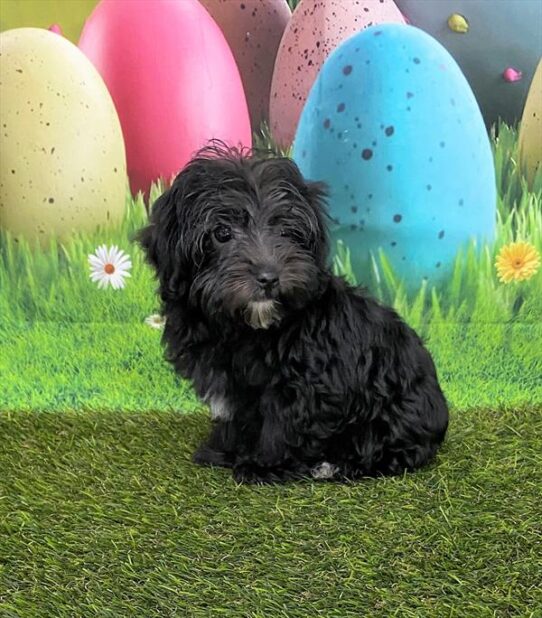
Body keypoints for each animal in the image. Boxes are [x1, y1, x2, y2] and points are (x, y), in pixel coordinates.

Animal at [140, 147, 450, 484]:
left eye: (286, 231)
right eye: (222, 232)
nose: (268, 277)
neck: (245, 327)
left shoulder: (305, 381)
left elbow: (283, 422)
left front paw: (265, 466)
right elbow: (236, 416)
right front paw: (224, 450)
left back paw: (338, 465)